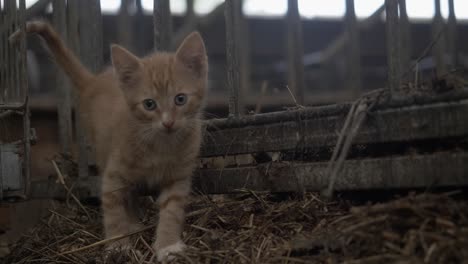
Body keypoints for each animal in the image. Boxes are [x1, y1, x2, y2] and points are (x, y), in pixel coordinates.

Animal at [11, 21, 207, 262]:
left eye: (180, 99)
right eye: (149, 104)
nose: (168, 123)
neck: (161, 144)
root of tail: (94, 81)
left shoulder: (178, 177)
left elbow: (172, 211)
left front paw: (167, 245)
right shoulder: (114, 174)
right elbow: (113, 210)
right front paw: (118, 246)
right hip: (104, 151)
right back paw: (132, 225)